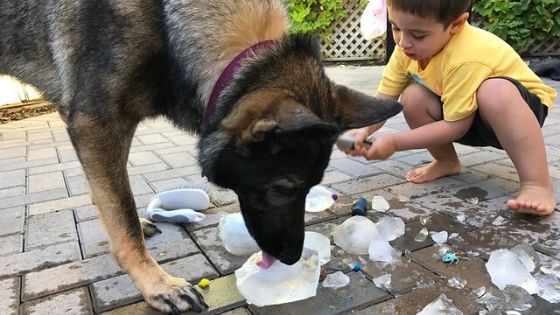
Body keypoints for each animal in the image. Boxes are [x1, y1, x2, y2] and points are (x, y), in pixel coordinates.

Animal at [0, 0, 402, 312]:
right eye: (281, 188)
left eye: (310, 188)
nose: (290, 258)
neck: (166, 24)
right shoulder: (95, 125)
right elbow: (121, 210)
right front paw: (158, 285)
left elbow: (115, 204)